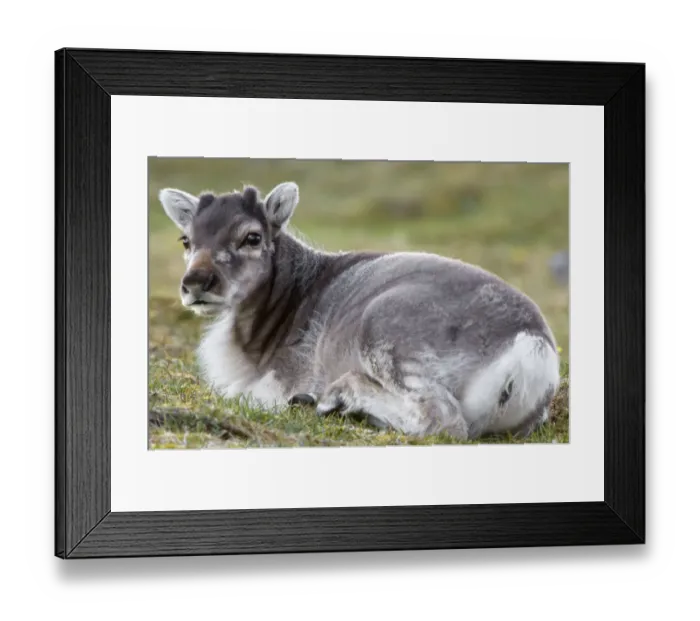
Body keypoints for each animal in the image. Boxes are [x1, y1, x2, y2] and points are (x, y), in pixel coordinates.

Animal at [158, 182, 560, 439]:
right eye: (186, 239)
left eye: (252, 236)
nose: (196, 283)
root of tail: (530, 343)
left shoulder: (273, 383)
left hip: (383, 330)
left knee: (444, 422)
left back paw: (337, 397)